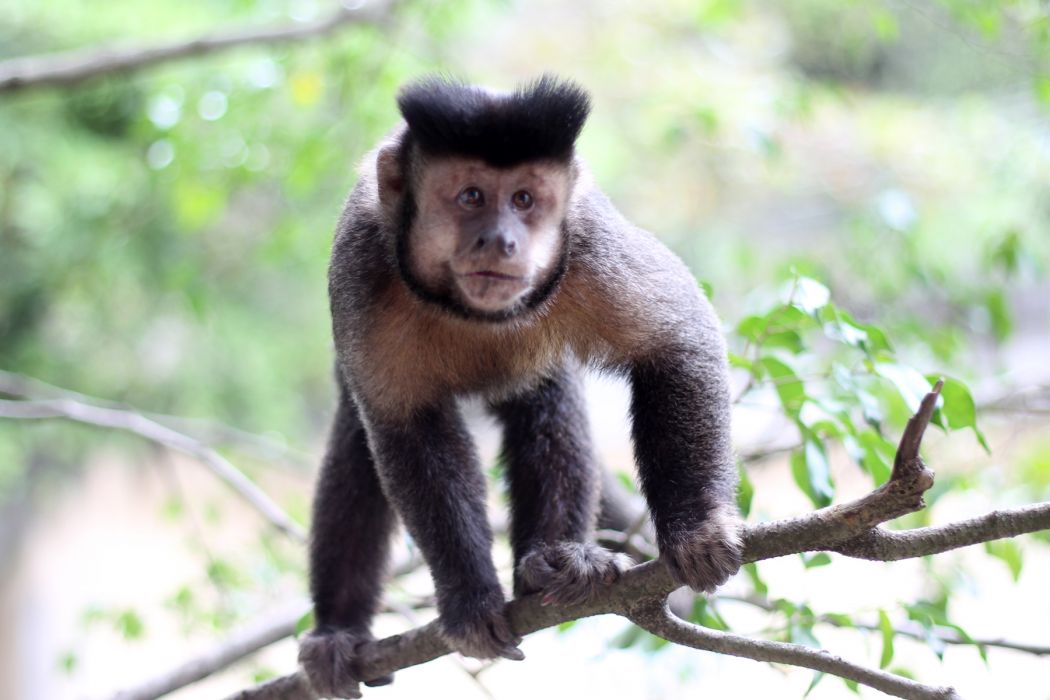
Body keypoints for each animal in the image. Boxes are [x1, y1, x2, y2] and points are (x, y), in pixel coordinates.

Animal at [298, 75, 743, 699]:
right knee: (358, 438)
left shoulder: (589, 245)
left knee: (546, 396)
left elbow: (676, 340)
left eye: (526, 200)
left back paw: (549, 566)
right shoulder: (359, 271)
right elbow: (403, 430)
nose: (501, 240)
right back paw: (338, 631)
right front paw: (469, 599)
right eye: (471, 197)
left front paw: (696, 528)